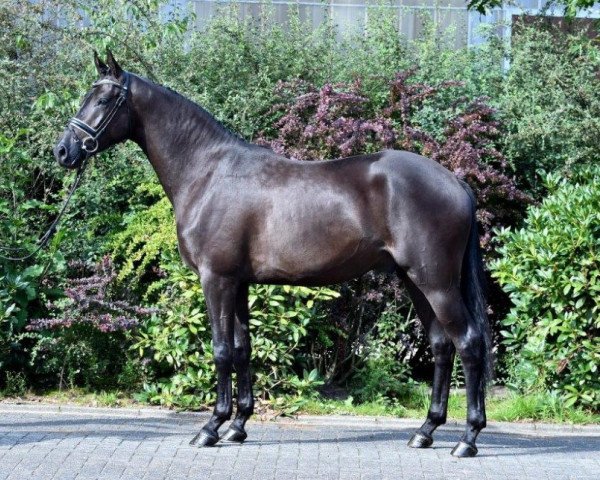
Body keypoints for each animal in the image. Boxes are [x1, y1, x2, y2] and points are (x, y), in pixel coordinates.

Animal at [52, 52, 492, 458]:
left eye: (104, 99)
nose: (63, 151)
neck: (207, 173)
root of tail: (456, 182)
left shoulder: (216, 279)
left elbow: (221, 350)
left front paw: (210, 428)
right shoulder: (239, 283)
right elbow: (242, 349)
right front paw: (237, 426)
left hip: (436, 283)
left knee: (468, 343)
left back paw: (468, 439)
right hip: (415, 281)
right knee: (441, 346)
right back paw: (425, 431)